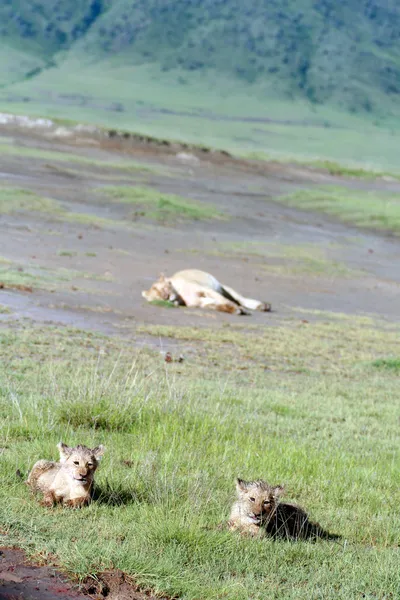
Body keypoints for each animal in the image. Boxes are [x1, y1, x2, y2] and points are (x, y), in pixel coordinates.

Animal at [141, 268, 272, 314]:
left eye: (164, 288)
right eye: (158, 297)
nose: (167, 297)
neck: (181, 297)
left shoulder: (205, 290)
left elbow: (223, 300)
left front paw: (238, 308)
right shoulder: (202, 302)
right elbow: (218, 305)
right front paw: (234, 310)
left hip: (225, 288)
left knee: (241, 299)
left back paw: (262, 306)